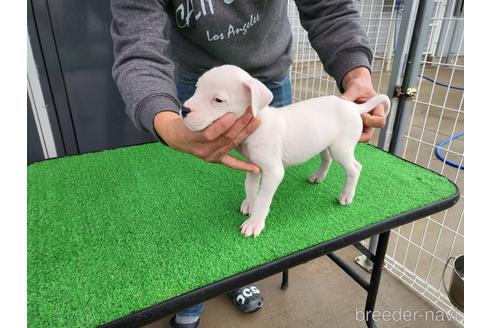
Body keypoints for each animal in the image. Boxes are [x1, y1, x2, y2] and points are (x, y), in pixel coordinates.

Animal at [183, 65, 390, 237]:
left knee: (355, 168)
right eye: (197, 88)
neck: (258, 123)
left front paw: (255, 223)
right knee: (327, 159)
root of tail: (353, 106)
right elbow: (250, 188)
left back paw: (346, 195)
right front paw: (250, 204)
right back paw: (318, 176)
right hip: (324, 142)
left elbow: (263, 199)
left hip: (341, 147)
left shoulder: (273, 172)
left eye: (218, 100)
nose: (184, 110)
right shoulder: (253, 167)